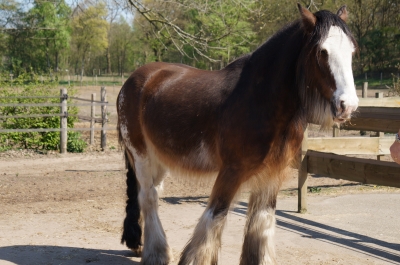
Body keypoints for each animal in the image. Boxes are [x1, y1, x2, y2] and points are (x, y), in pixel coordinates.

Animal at [117, 4, 358, 264]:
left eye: (352, 51)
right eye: (322, 52)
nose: (348, 106)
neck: (261, 99)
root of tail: (134, 80)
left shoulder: (273, 174)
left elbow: (262, 222)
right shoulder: (232, 171)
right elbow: (215, 215)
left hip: (160, 158)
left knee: (153, 194)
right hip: (140, 155)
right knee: (148, 197)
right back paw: (157, 253)